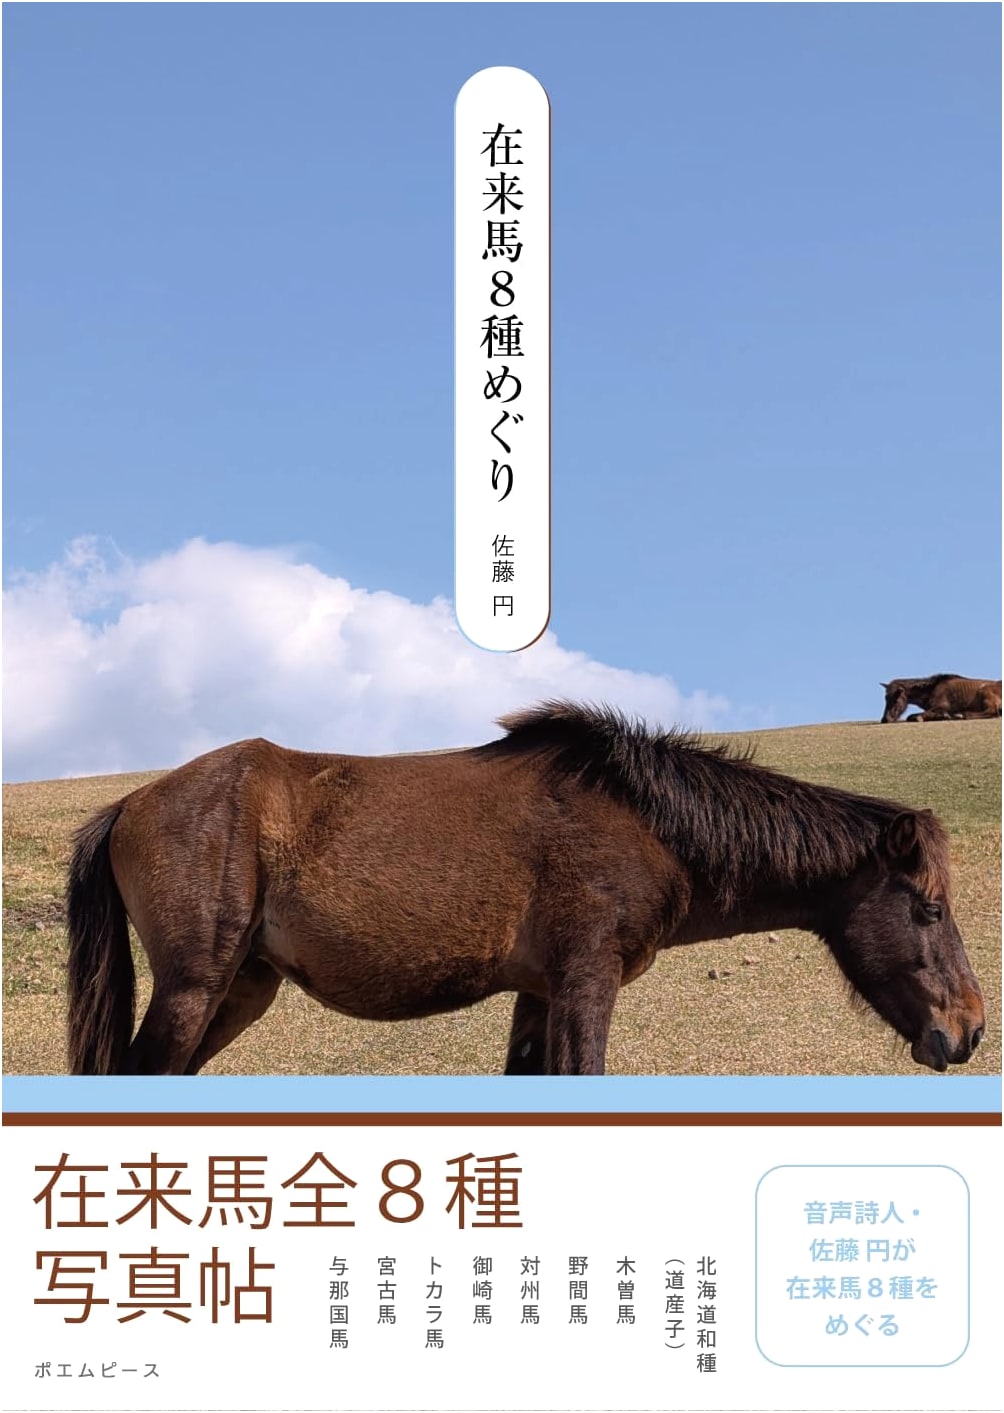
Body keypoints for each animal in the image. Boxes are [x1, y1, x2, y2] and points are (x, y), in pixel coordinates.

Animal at [66, 701, 986, 1077]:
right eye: (929, 908)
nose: (970, 1029)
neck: (645, 819)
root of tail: (130, 803)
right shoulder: (587, 980)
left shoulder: (540, 993)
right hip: (193, 988)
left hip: (240, 989)